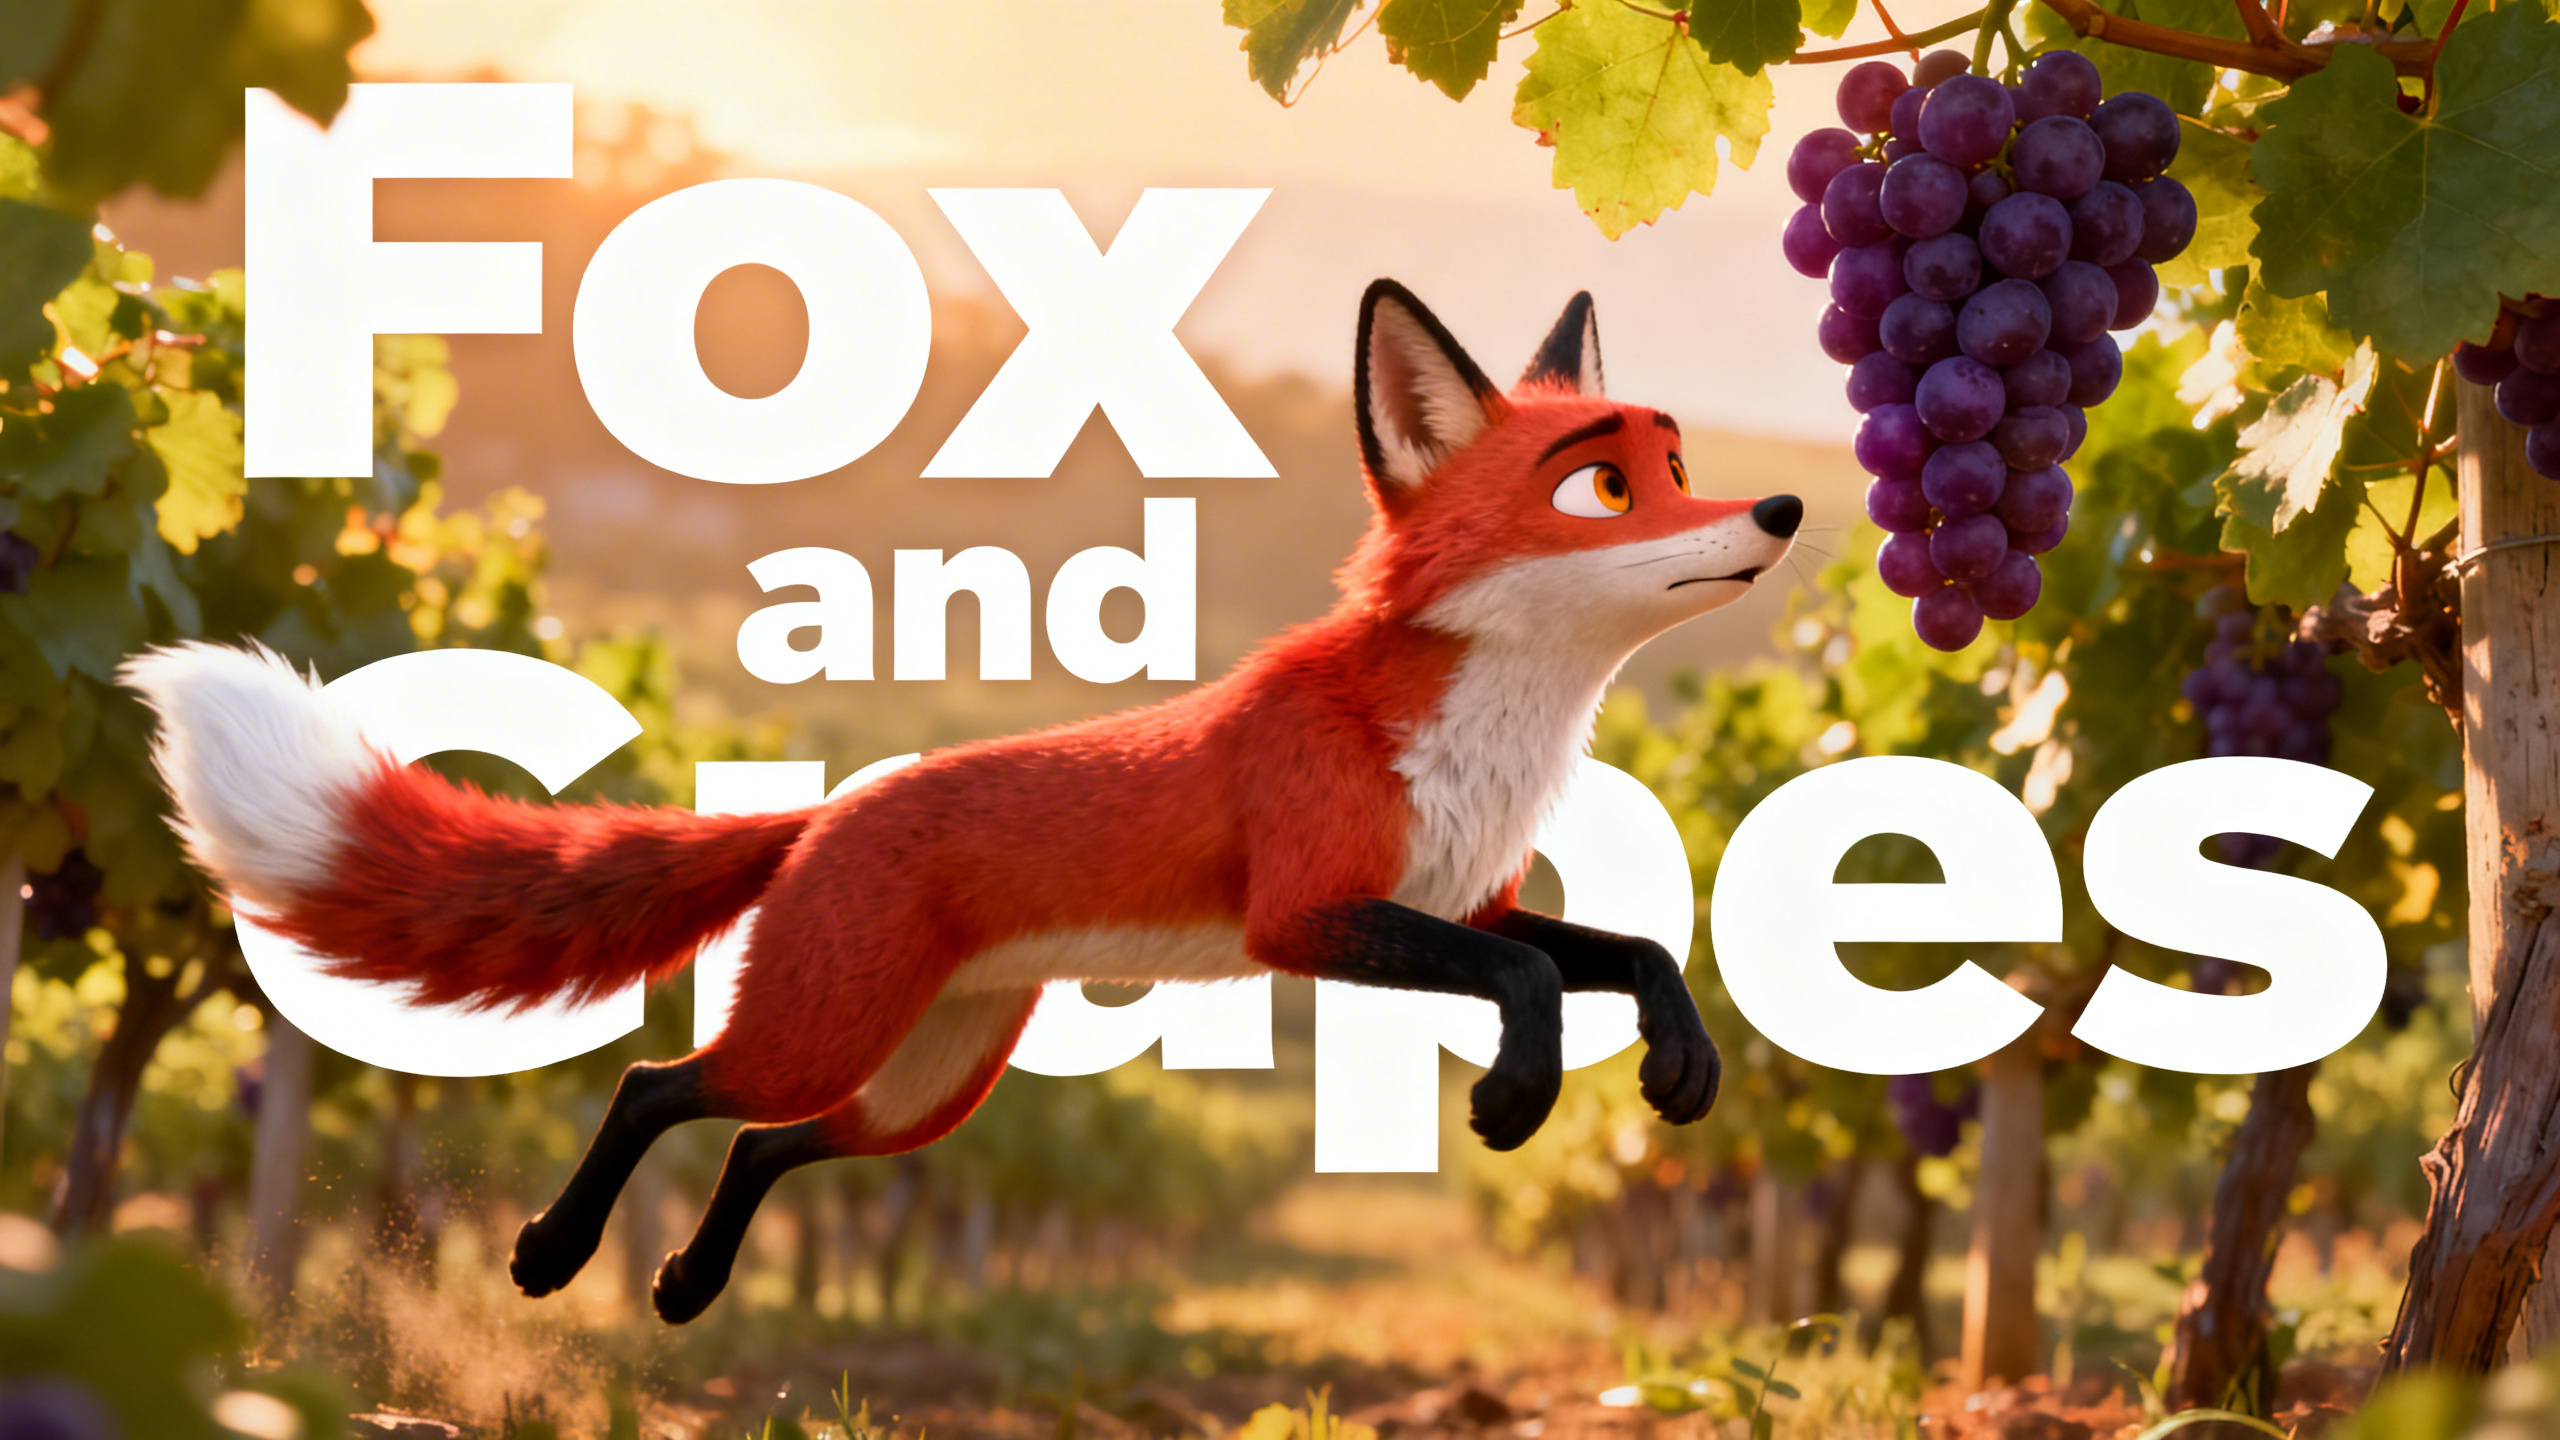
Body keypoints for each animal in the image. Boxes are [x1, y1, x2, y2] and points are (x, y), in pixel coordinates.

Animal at [121, 280, 1800, 1323]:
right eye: (1604, 487)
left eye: (1681, 461)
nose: (1784, 506)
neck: (1480, 732)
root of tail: (824, 812)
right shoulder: (1313, 910)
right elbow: (1527, 980)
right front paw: (1517, 1097)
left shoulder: (1460, 894)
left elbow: (1632, 953)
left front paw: (1683, 1068)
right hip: (830, 1029)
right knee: (661, 1087)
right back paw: (555, 1253)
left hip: (929, 1088)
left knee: (765, 1146)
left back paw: (686, 1288)